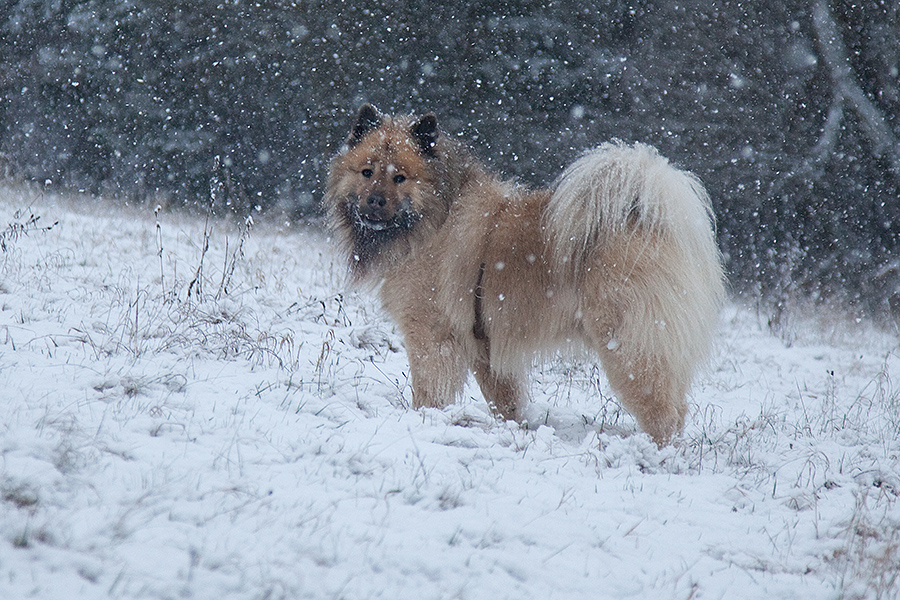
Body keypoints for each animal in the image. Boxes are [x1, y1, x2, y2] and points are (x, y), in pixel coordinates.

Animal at [324, 104, 724, 446]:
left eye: (400, 177)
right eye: (366, 172)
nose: (374, 202)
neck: (435, 218)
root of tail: (648, 220)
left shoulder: (432, 335)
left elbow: (429, 392)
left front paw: (424, 420)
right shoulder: (486, 348)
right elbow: (506, 401)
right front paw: (515, 430)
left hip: (626, 345)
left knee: (664, 412)